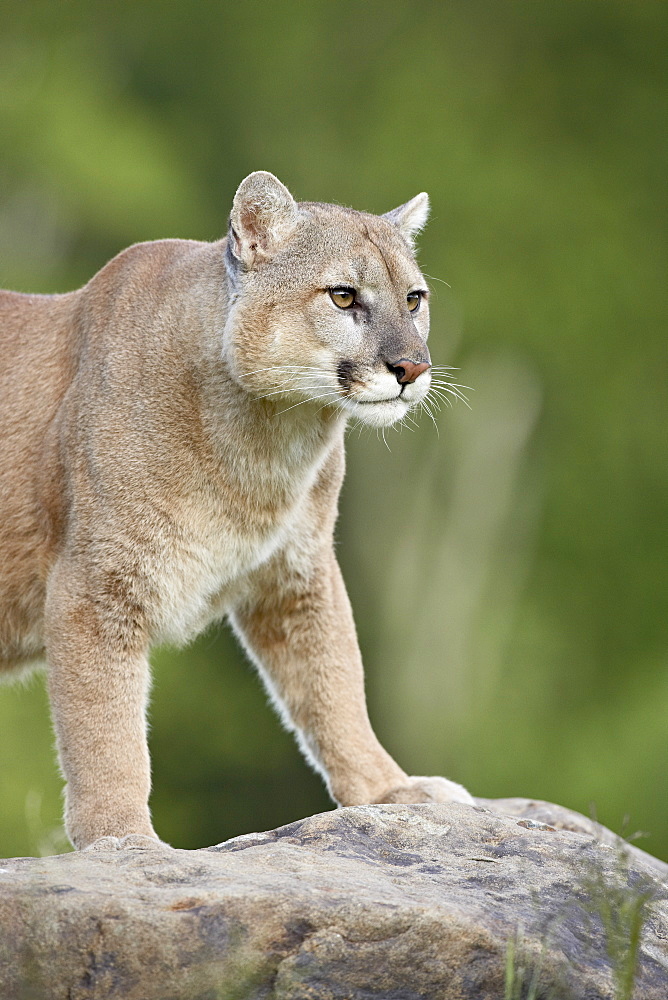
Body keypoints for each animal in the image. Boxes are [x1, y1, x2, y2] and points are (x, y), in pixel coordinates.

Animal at [0, 174, 474, 852]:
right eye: (343, 295)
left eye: (414, 299)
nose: (413, 367)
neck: (270, 436)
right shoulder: (95, 587)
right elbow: (106, 730)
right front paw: (125, 841)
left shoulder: (296, 575)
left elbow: (334, 686)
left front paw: (390, 790)